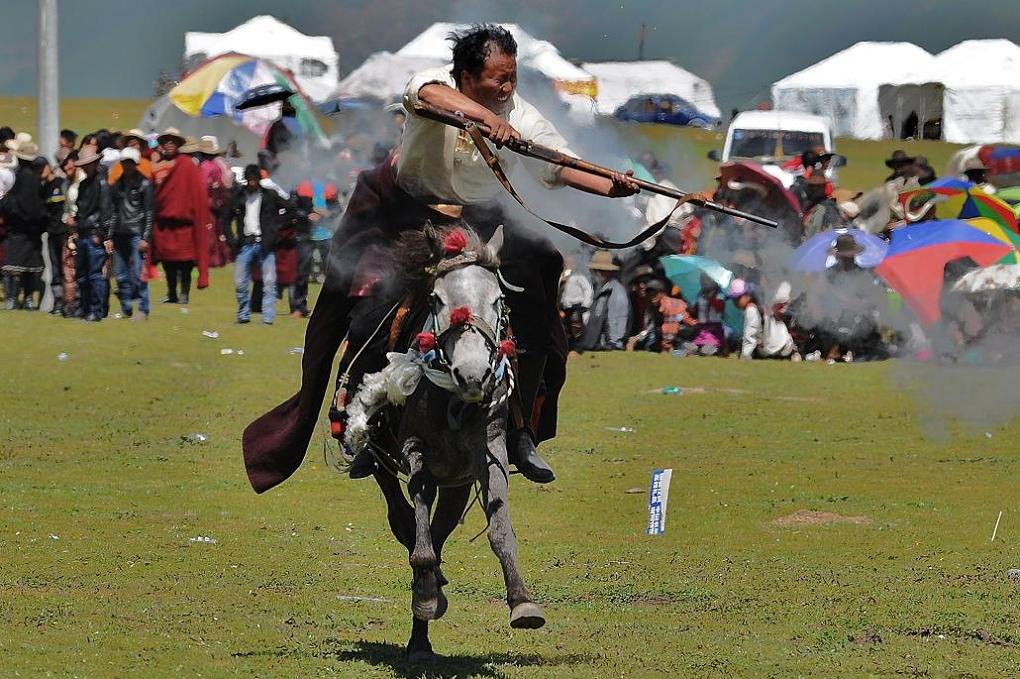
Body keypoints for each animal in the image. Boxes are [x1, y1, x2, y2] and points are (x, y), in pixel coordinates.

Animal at [342, 222, 546, 660]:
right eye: (436, 299)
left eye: (499, 299)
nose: (472, 374)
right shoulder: (415, 450)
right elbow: (419, 530)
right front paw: (425, 592)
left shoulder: (490, 452)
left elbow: (499, 528)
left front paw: (522, 602)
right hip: (388, 462)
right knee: (403, 517)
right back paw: (423, 615)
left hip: (456, 483)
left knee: (442, 525)